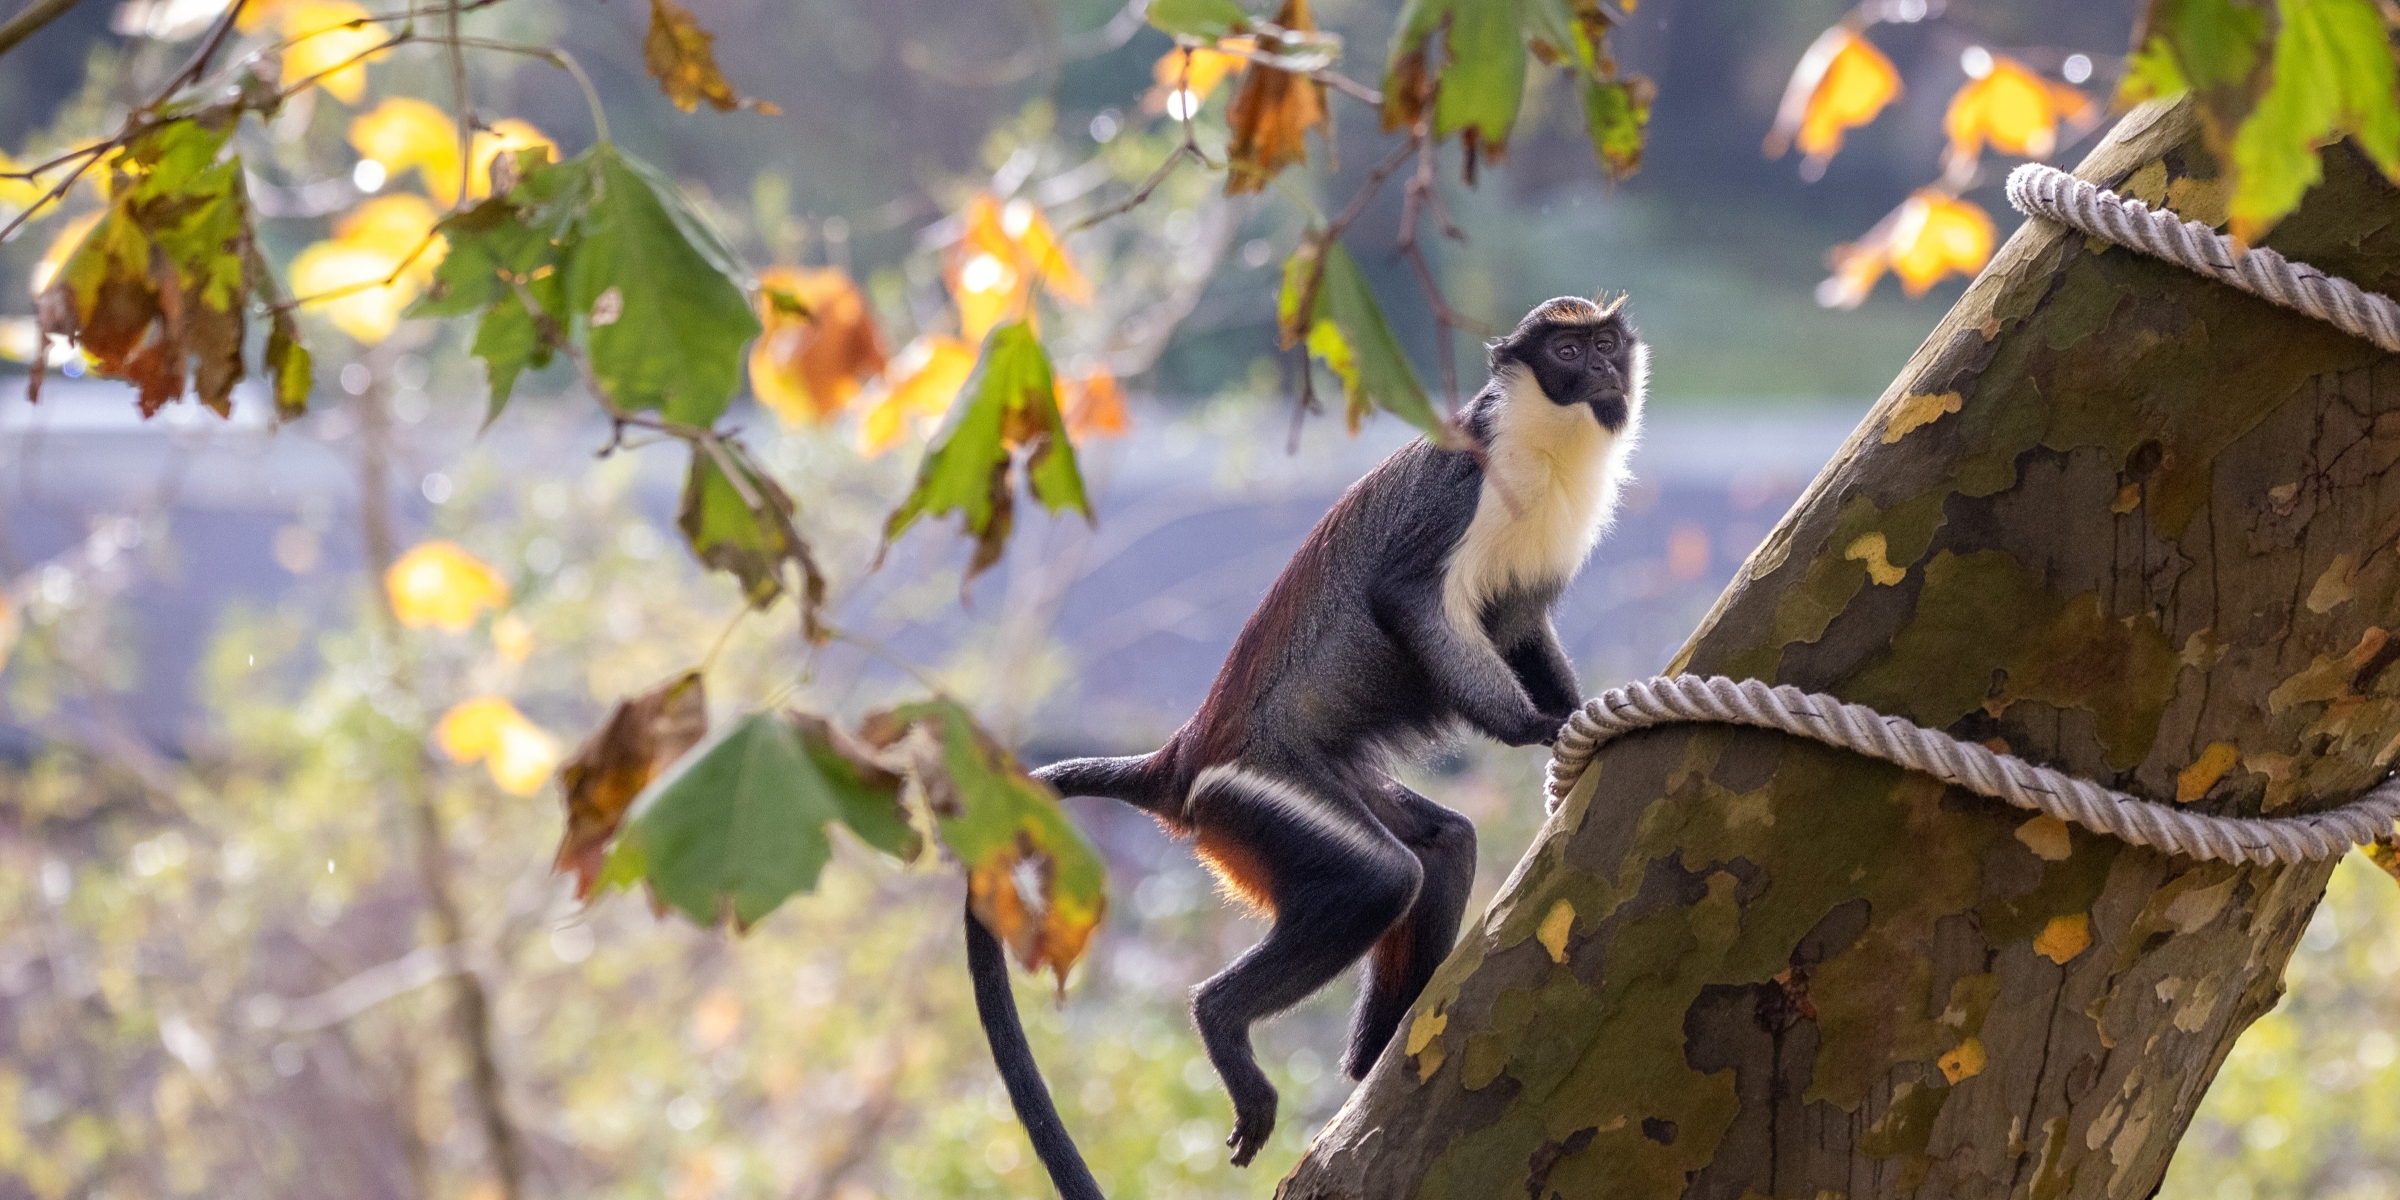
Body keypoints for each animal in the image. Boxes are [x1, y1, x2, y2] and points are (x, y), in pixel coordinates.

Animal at [967, 295, 1646, 1196]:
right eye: (1567, 351)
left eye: (1604, 343)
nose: (1601, 369)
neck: (1543, 438)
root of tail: (1177, 761)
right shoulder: (1461, 493)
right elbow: (1406, 598)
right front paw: (1537, 730)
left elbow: (1523, 626)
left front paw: (1576, 717)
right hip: (1254, 798)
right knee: (1379, 878)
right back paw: (1224, 1020)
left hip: (1329, 787)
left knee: (1442, 846)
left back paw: (1373, 1058)